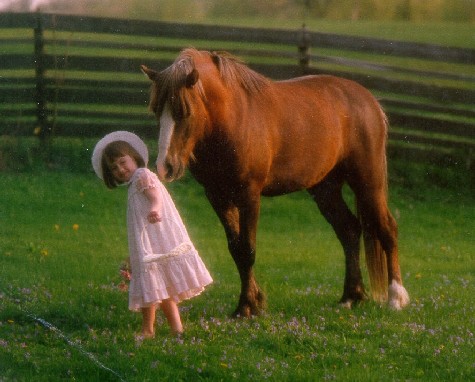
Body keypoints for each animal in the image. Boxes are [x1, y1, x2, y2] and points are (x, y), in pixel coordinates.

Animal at [141, 47, 410, 316]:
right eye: (157, 111)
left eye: (185, 112)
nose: (165, 166)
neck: (233, 119)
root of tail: (369, 101)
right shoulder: (217, 196)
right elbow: (236, 249)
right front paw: (253, 301)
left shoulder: (249, 194)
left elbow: (247, 249)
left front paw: (247, 307)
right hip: (325, 189)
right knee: (350, 231)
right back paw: (351, 296)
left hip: (368, 182)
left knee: (387, 228)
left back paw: (396, 297)